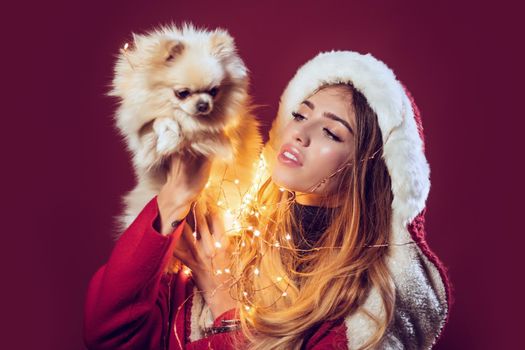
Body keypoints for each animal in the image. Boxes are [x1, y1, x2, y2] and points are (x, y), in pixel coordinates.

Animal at [108, 22, 262, 241]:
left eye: (214, 91)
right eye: (182, 93)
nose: (203, 105)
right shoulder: (142, 129)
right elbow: (157, 123)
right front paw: (168, 137)